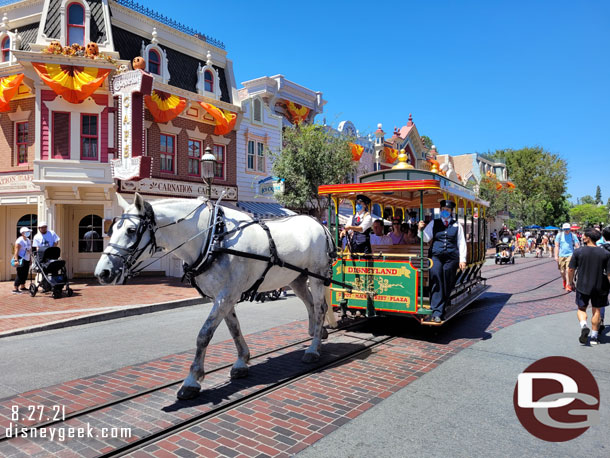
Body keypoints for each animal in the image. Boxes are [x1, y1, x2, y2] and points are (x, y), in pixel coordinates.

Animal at [94, 193, 338, 400]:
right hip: (296, 279)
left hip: (317, 277)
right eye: (112, 228)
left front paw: (192, 380)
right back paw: (317, 335)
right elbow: (234, 328)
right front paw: (241, 362)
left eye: (131, 230)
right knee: (310, 305)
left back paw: (313, 349)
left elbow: (204, 335)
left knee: (319, 308)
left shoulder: (226, 296)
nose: (102, 273)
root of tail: (319, 224)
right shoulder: (222, 297)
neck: (212, 239)